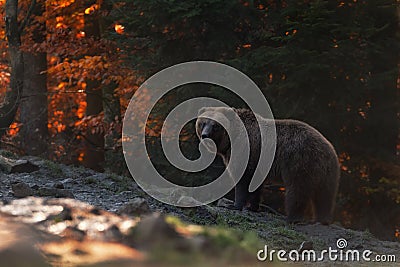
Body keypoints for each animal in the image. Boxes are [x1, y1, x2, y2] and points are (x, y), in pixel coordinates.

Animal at [195, 107, 340, 224]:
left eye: (215, 125)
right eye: (203, 123)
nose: (205, 135)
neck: (232, 138)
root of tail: (327, 148)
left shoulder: (247, 151)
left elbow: (242, 180)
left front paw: (234, 205)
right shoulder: (256, 164)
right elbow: (255, 185)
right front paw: (252, 207)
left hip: (299, 162)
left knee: (297, 190)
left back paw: (292, 217)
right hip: (328, 172)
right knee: (325, 195)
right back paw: (322, 219)